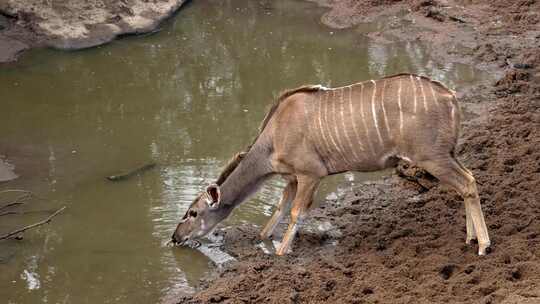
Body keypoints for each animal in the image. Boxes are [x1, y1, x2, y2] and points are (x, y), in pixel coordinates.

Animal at [171, 74, 492, 256]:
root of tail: (450, 97)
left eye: (193, 212)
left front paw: (281, 253)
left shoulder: (310, 175)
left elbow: (297, 212)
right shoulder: (292, 178)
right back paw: (469, 238)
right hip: (447, 154)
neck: (273, 138)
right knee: (468, 179)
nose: (175, 238)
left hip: (432, 157)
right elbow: (280, 209)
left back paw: (483, 245)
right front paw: (263, 240)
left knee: (467, 183)